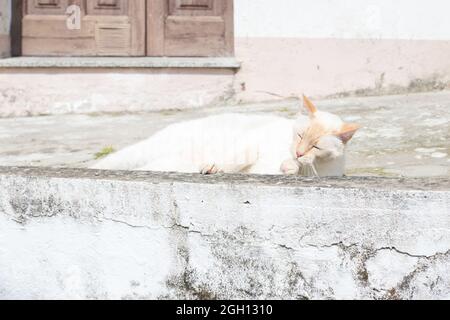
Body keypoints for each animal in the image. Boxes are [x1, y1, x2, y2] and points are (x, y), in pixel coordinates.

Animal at [91, 97, 358, 178]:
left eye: (316, 147)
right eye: (300, 135)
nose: (298, 152)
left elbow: (288, 169)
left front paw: (290, 165)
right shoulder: (249, 144)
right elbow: (234, 159)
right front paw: (214, 167)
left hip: (168, 162)